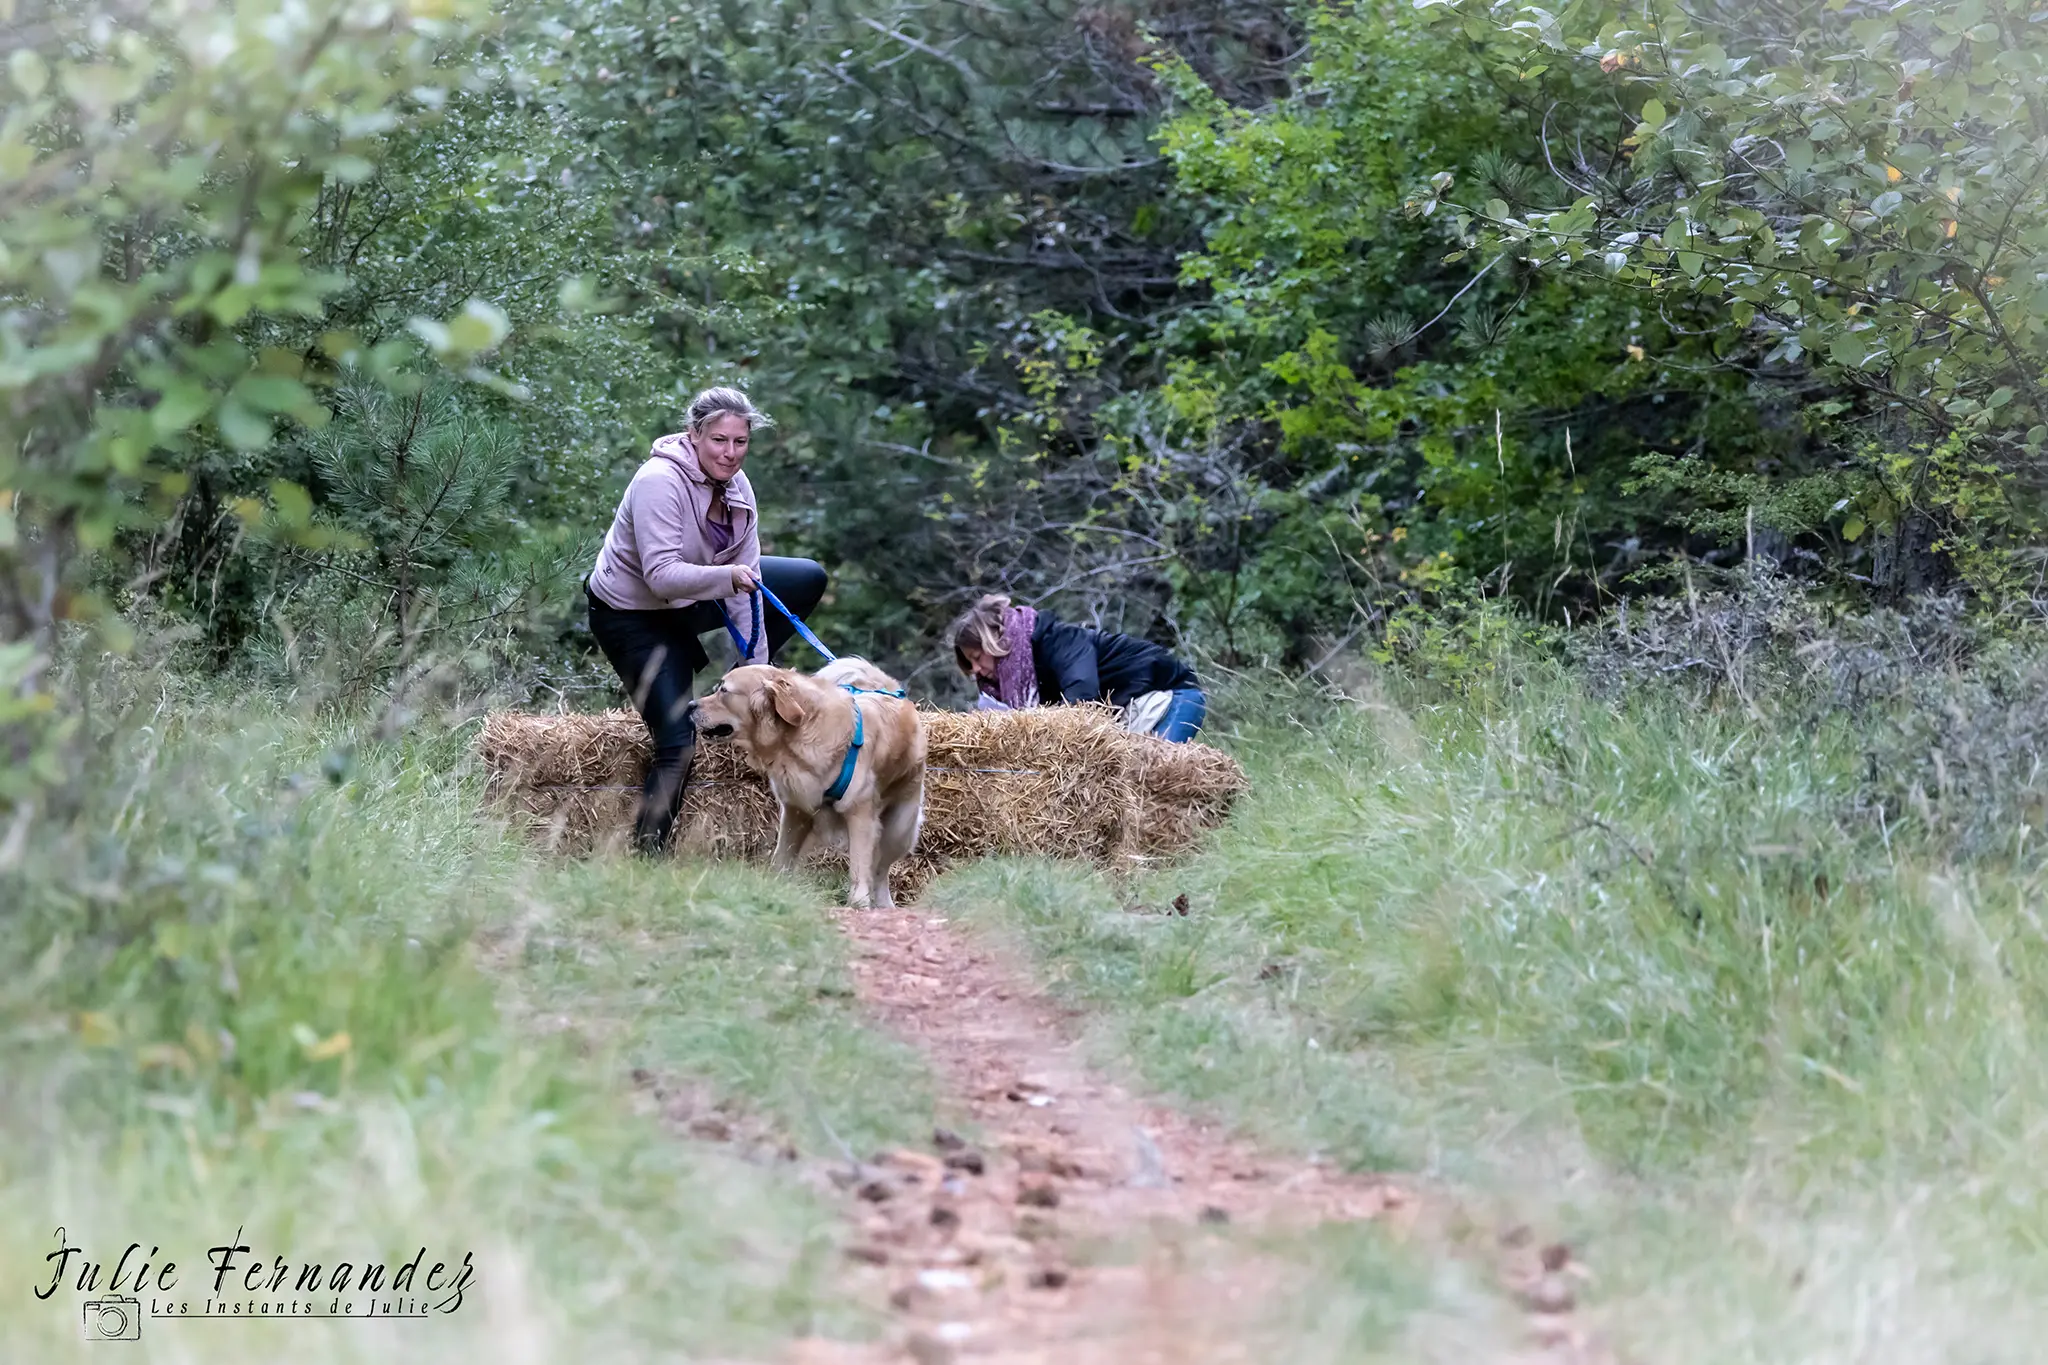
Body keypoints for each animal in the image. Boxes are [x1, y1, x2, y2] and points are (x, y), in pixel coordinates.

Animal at [688, 654, 929, 908]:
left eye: (724, 690)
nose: (690, 706)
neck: (801, 733)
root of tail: (891, 691)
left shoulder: (860, 813)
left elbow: (859, 865)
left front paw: (858, 901)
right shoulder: (796, 811)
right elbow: (782, 856)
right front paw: (775, 888)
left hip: (899, 827)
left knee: (880, 869)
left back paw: (884, 904)